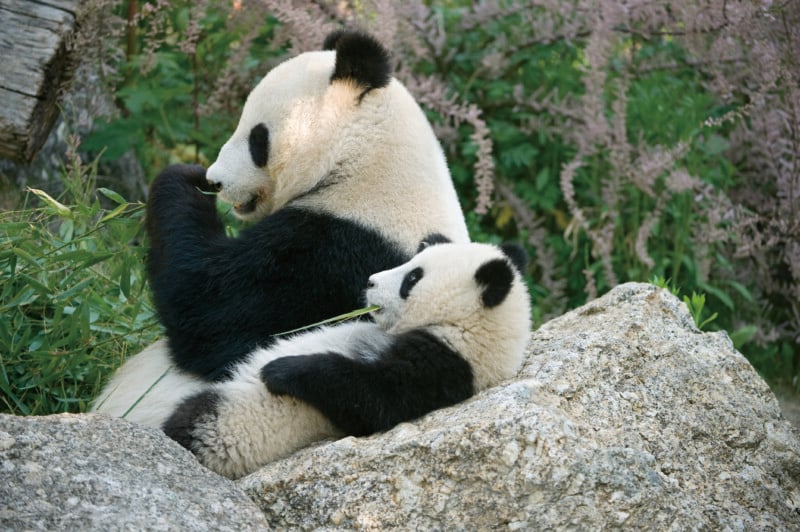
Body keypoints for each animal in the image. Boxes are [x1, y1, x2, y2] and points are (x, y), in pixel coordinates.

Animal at [91, 30, 468, 417]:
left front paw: (184, 176)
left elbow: (211, 307)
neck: (366, 164)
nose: (216, 180)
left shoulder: (340, 254)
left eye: (257, 137)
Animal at [162, 241, 532, 479]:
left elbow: (372, 398)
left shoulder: (446, 365)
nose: (370, 281)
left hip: (233, 424)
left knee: (194, 420)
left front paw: (281, 370)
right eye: (413, 260)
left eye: (413, 279)